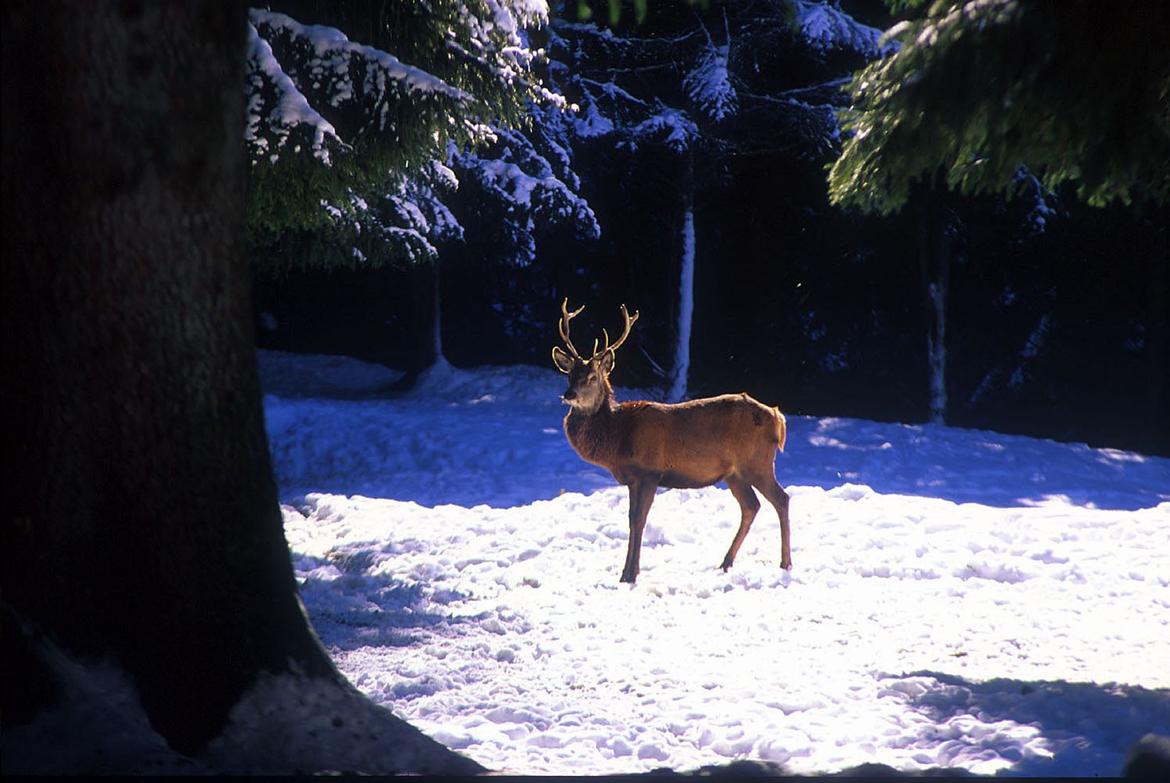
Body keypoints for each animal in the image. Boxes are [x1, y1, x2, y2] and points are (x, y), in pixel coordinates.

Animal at [551, 299, 792, 584]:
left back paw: (785, 563)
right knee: (751, 506)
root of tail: (778, 417)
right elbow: (631, 520)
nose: (569, 395)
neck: (619, 437)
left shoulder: (649, 472)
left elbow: (639, 520)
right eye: (569, 375)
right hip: (734, 474)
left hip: (757, 462)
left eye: (592, 377)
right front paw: (625, 573)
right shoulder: (633, 478)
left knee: (781, 499)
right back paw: (725, 562)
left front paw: (630, 574)